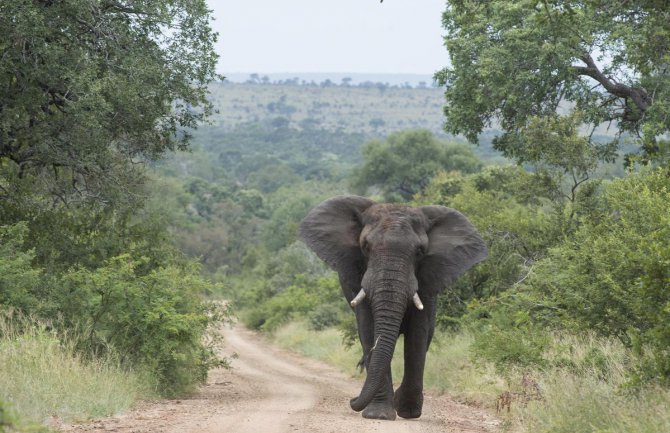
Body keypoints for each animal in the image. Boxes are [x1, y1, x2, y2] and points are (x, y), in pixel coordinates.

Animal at [300, 196, 488, 418]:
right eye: (365, 246)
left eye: (420, 251)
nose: (352, 400)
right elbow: (369, 328)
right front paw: (379, 415)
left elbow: (417, 335)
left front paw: (407, 411)